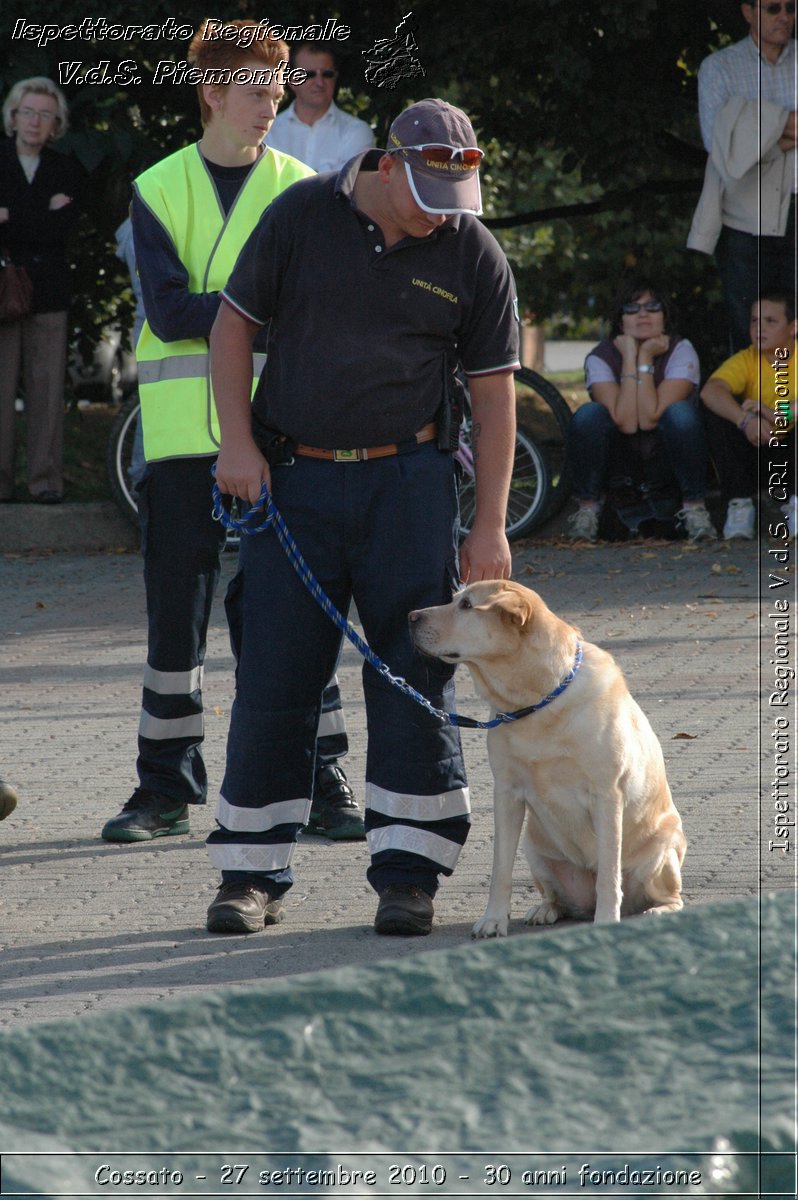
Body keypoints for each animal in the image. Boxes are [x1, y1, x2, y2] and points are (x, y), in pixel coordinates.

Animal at [410, 576, 686, 931]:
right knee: (557, 899)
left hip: (660, 854)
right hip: (536, 849)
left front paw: (606, 920)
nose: (411, 616)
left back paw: (655, 911)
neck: (536, 701)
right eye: (456, 599)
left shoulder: (607, 796)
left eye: (467, 605)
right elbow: (501, 868)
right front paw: (494, 919)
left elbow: (609, 875)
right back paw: (543, 910)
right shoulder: (507, 793)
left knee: (668, 896)